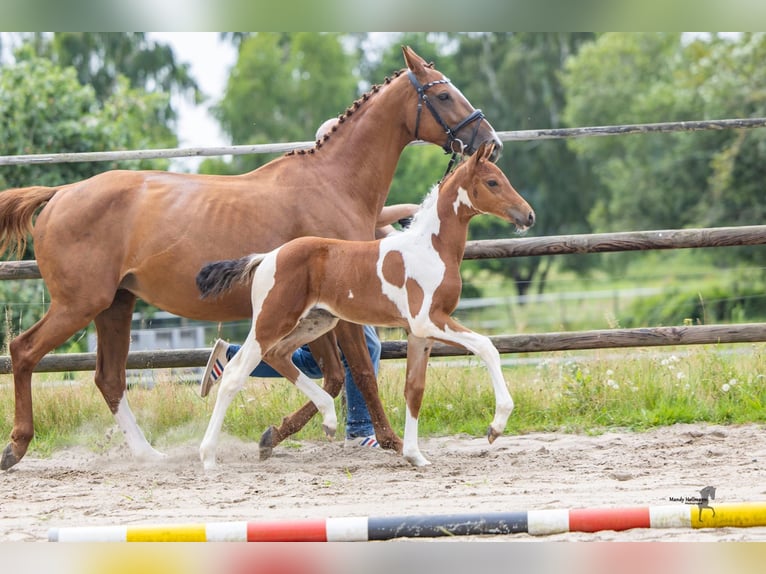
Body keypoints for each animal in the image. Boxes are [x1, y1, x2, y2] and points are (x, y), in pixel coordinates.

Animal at [195, 142, 535, 468]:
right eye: (492, 181)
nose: (528, 215)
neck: (431, 248)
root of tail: (267, 257)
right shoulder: (428, 319)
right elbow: (486, 347)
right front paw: (495, 427)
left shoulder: (419, 333)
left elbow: (414, 390)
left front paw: (415, 456)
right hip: (272, 320)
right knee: (235, 375)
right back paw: (209, 457)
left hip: (316, 321)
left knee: (278, 355)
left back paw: (329, 419)